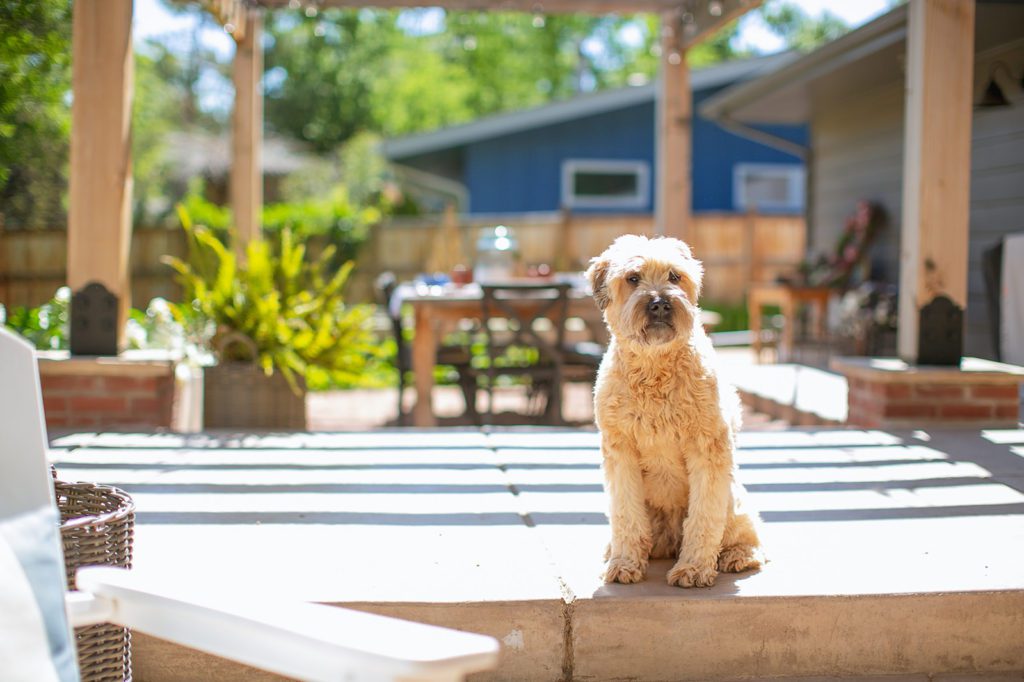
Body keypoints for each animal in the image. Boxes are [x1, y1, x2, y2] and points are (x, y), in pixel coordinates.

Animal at [589, 232, 765, 585]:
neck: (655, 370)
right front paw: (624, 563)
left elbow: (704, 517)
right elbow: (625, 514)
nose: (659, 303)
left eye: (674, 276)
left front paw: (694, 569)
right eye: (633, 278)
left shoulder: (709, 450)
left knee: (747, 534)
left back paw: (738, 556)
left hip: (735, 500)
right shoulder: (620, 452)